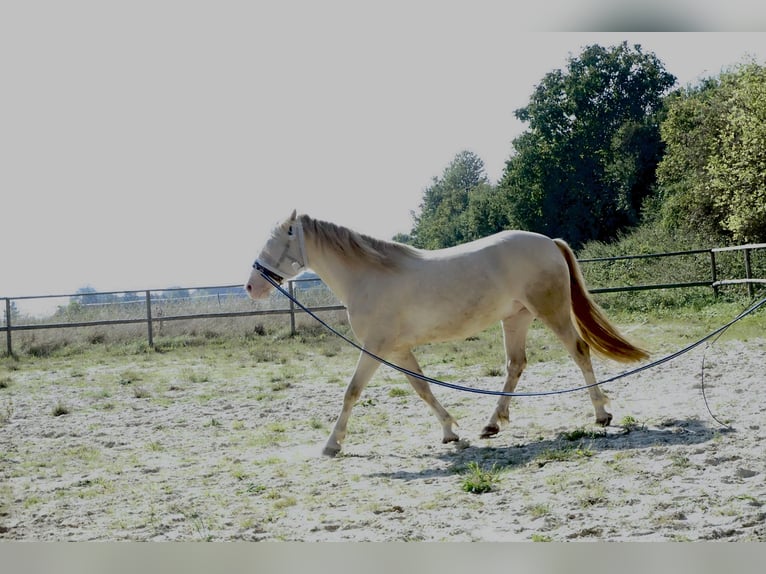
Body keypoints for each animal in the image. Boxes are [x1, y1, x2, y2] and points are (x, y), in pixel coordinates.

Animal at [245, 210, 648, 457]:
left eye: (276, 241)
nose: (251, 286)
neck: (370, 276)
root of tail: (549, 241)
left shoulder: (376, 347)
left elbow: (352, 392)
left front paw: (332, 444)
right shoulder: (397, 350)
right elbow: (422, 389)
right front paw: (451, 432)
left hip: (551, 311)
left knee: (578, 351)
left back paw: (601, 415)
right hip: (516, 318)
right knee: (515, 365)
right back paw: (491, 425)